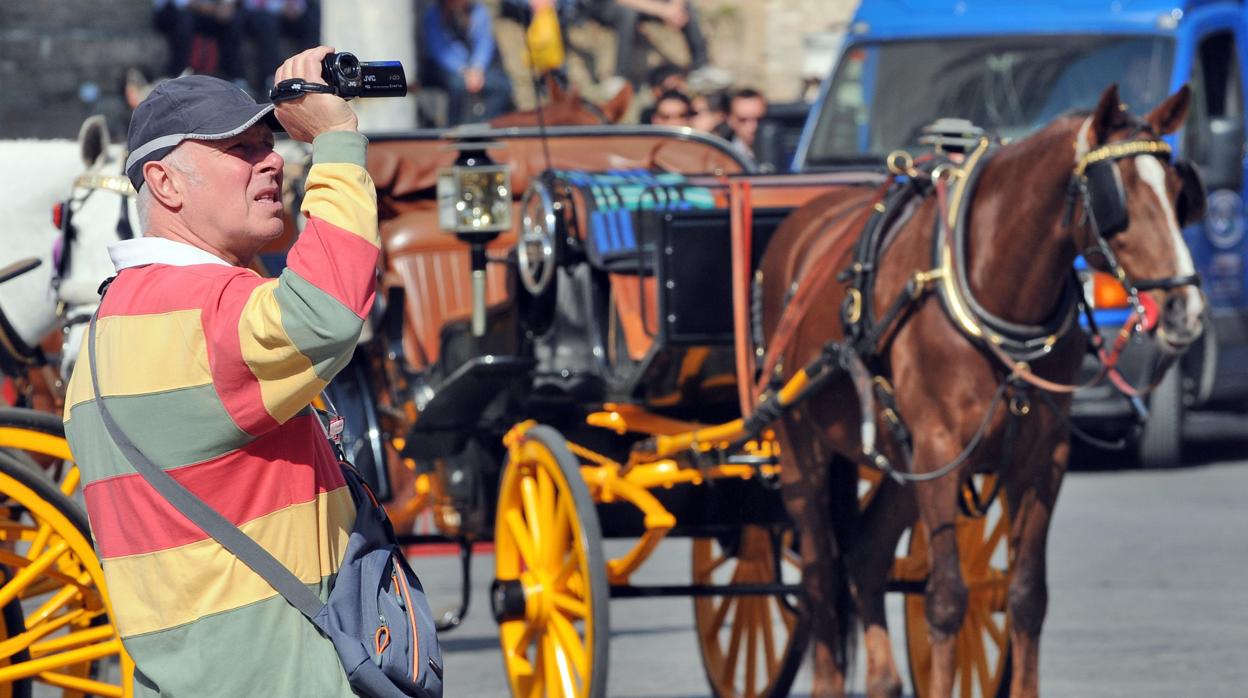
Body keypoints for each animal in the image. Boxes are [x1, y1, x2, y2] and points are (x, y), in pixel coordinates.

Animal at [758, 83, 1208, 698]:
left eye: (1178, 193)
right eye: (1118, 198)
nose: (1186, 309)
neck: (994, 291)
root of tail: (804, 222)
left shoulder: (1039, 461)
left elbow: (1027, 598)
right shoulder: (940, 453)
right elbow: (947, 599)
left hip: (901, 461)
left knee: (865, 554)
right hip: (801, 447)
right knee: (821, 575)